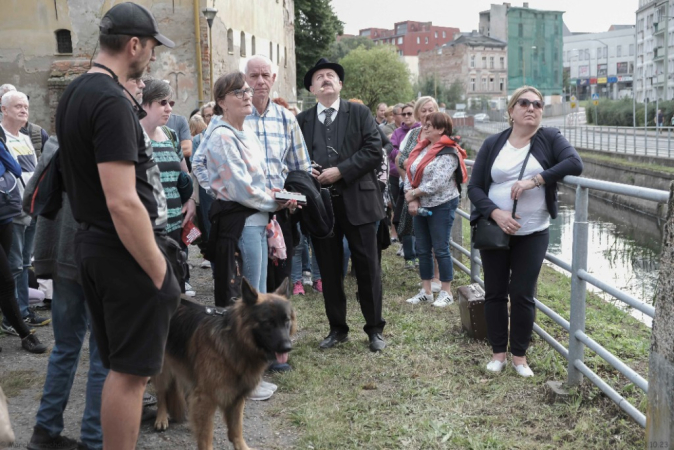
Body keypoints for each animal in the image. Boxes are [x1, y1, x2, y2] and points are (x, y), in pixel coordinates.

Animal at [155, 278, 296, 450]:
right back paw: (161, 418)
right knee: (161, 393)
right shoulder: (206, 399)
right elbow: (206, 438)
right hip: (162, 370)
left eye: (286, 321)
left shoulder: (237, 396)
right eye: (268, 323)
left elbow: (236, 430)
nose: (288, 347)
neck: (235, 341)